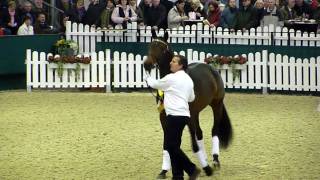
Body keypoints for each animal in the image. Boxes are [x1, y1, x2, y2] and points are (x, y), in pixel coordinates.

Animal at [144, 29, 232, 179]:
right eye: (150, 45)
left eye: (162, 48)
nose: (147, 64)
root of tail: (211, 68)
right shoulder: (164, 117)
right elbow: (167, 145)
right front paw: (164, 171)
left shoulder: (187, 117)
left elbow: (193, 145)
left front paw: (205, 168)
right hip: (196, 114)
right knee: (200, 134)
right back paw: (206, 159)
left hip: (216, 105)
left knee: (213, 131)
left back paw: (214, 161)